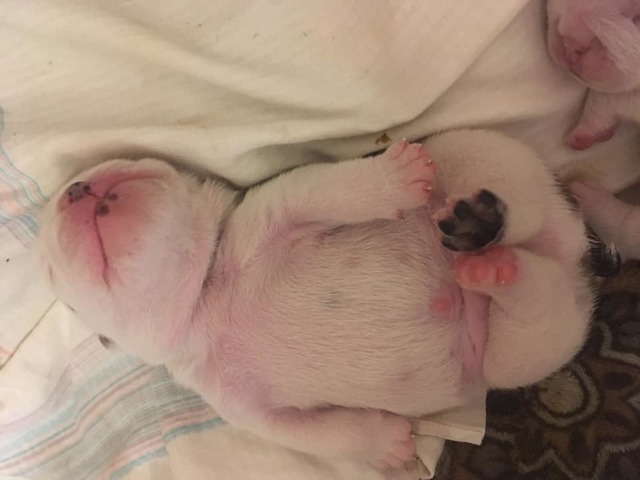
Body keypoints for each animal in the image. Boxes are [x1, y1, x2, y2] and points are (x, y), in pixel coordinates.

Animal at [36, 130, 596, 472]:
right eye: (52, 272)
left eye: (131, 161)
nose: (76, 188)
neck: (204, 296)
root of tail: (572, 248)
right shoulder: (242, 406)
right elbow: (326, 434)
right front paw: (390, 444)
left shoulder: (279, 206)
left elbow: (330, 187)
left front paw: (395, 177)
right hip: (526, 344)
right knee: (532, 292)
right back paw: (489, 263)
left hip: (481, 152)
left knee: (514, 204)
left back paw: (480, 222)